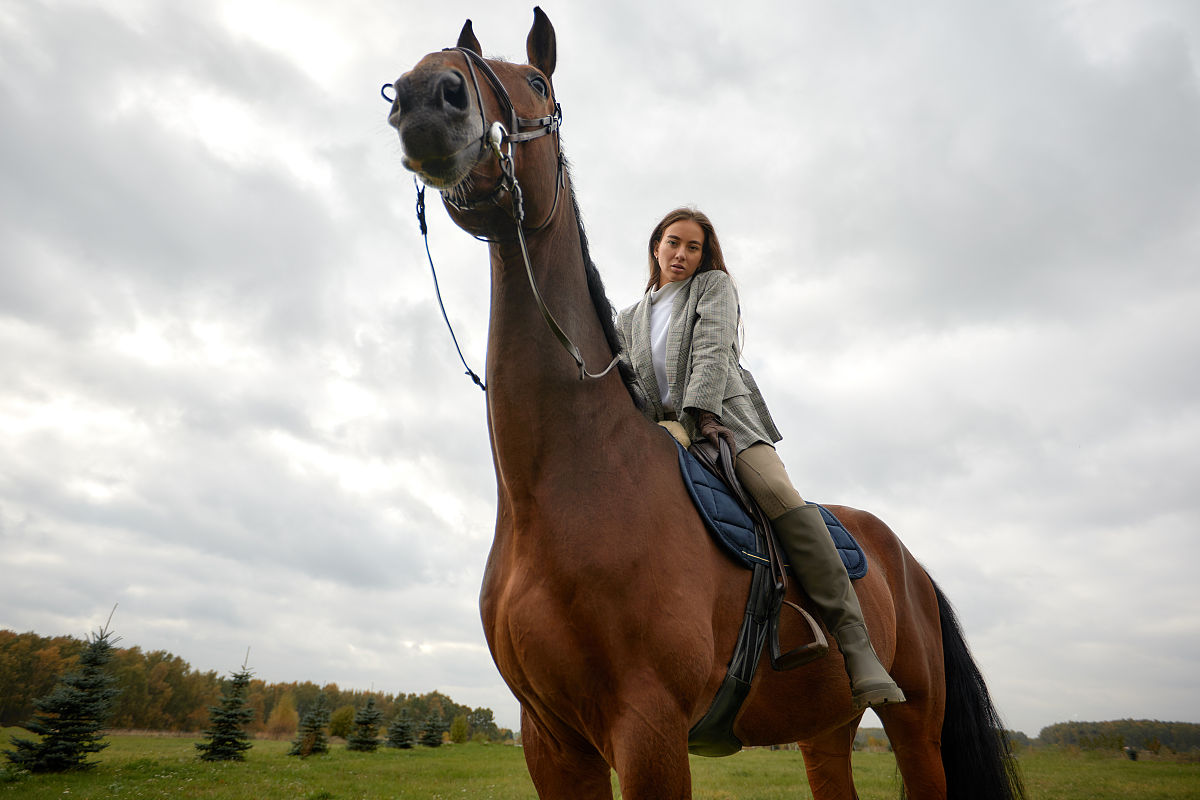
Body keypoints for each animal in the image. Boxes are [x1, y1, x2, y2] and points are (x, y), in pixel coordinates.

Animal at [385, 9, 1025, 800]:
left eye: (535, 81)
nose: (425, 93)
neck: (566, 489)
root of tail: (912, 564)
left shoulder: (650, 730)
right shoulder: (552, 741)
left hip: (916, 726)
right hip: (825, 730)